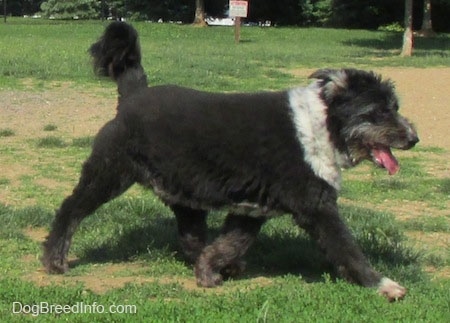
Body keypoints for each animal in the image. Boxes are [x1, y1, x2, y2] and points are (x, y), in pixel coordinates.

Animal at [42, 22, 418, 302]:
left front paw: (211, 270)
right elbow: (347, 249)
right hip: (108, 174)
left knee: (190, 237)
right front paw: (384, 285)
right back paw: (54, 260)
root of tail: (134, 94)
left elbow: (230, 243)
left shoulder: (251, 209)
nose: (414, 138)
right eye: (378, 111)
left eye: (395, 107)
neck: (320, 125)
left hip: (183, 191)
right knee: (70, 210)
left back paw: (217, 266)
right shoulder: (317, 206)